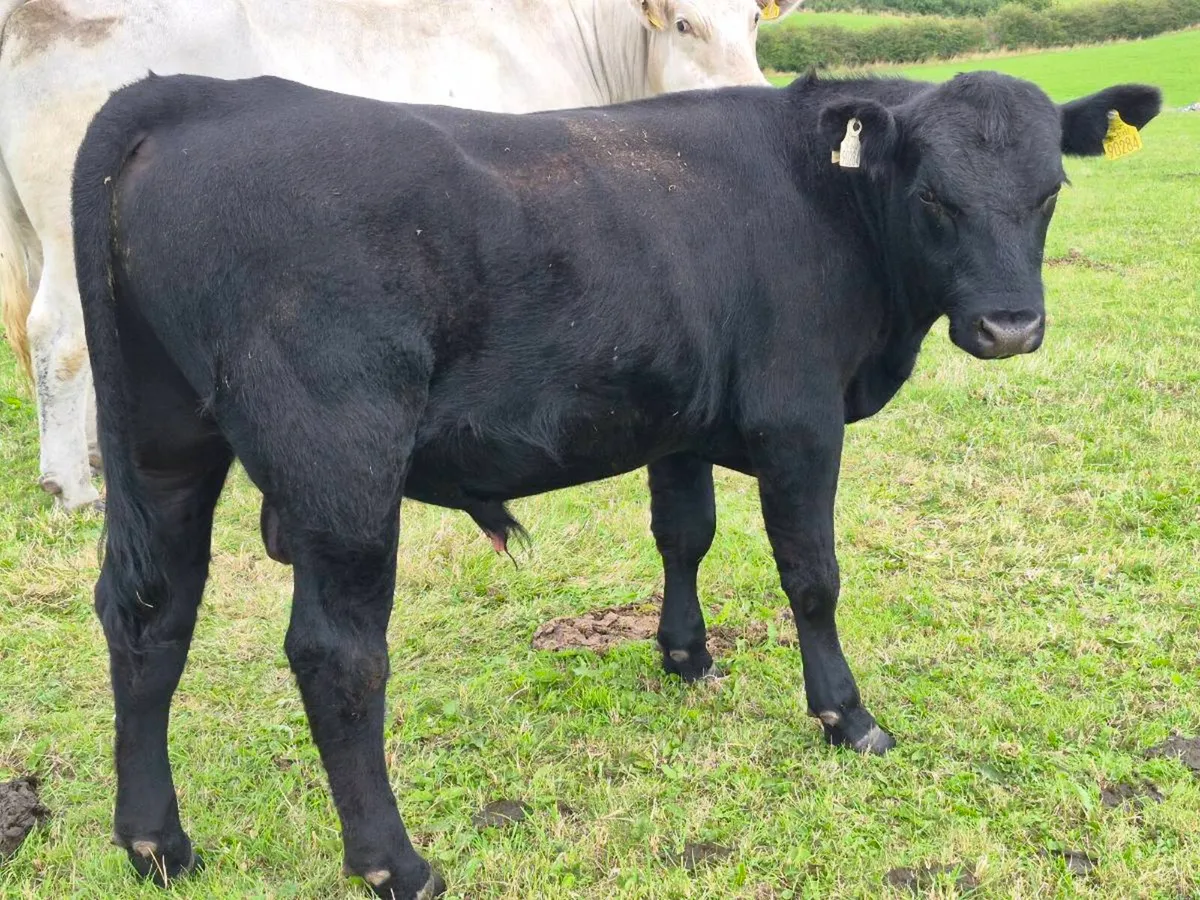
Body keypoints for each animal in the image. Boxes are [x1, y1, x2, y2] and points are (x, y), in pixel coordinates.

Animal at [0, 0, 803, 512]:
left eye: (753, 19)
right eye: (685, 23)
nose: (751, 92)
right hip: (70, 238)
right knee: (61, 338)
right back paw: (74, 487)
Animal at [72, 70, 1160, 897]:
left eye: (1050, 190)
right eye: (933, 196)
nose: (1010, 326)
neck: (826, 201)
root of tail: (204, 94)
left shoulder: (677, 416)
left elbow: (684, 532)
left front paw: (685, 655)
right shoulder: (799, 420)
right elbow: (812, 577)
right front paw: (846, 716)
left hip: (167, 448)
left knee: (151, 621)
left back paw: (157, 844)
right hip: (341, 466)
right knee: (337, 659)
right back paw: (395, 864)